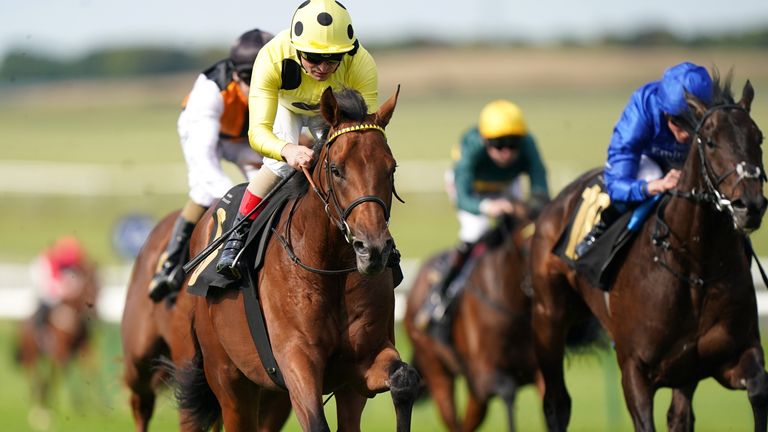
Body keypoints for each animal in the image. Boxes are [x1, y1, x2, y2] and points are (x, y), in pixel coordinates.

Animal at [15, 255, 101, 427]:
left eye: (99, 289)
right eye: (87, 289)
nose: (95, 317)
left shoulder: (83, 349)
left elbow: (91, 369)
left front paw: (95, 407)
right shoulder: (60, 352)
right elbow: (56, 378)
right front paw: (53, 410)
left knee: (43, 379)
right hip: (30, 355)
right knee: (34, 379)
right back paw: (36, 410)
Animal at [178, 86, 420, 432]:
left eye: (392, 169)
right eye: (336, 169)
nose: (372, 249)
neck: (331, 268)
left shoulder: (362, 363)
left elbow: (405, 379)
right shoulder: (295, 360)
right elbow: (316, 421)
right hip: (227, 377)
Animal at [530, 74, 768, 431]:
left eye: (759, 138)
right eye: (711, 142)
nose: (750, 205)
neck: (695, 268)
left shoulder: (732, 354)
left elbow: (758, 389)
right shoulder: (635, 371)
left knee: (681, 415)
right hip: (549, 320)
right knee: (557, 403)